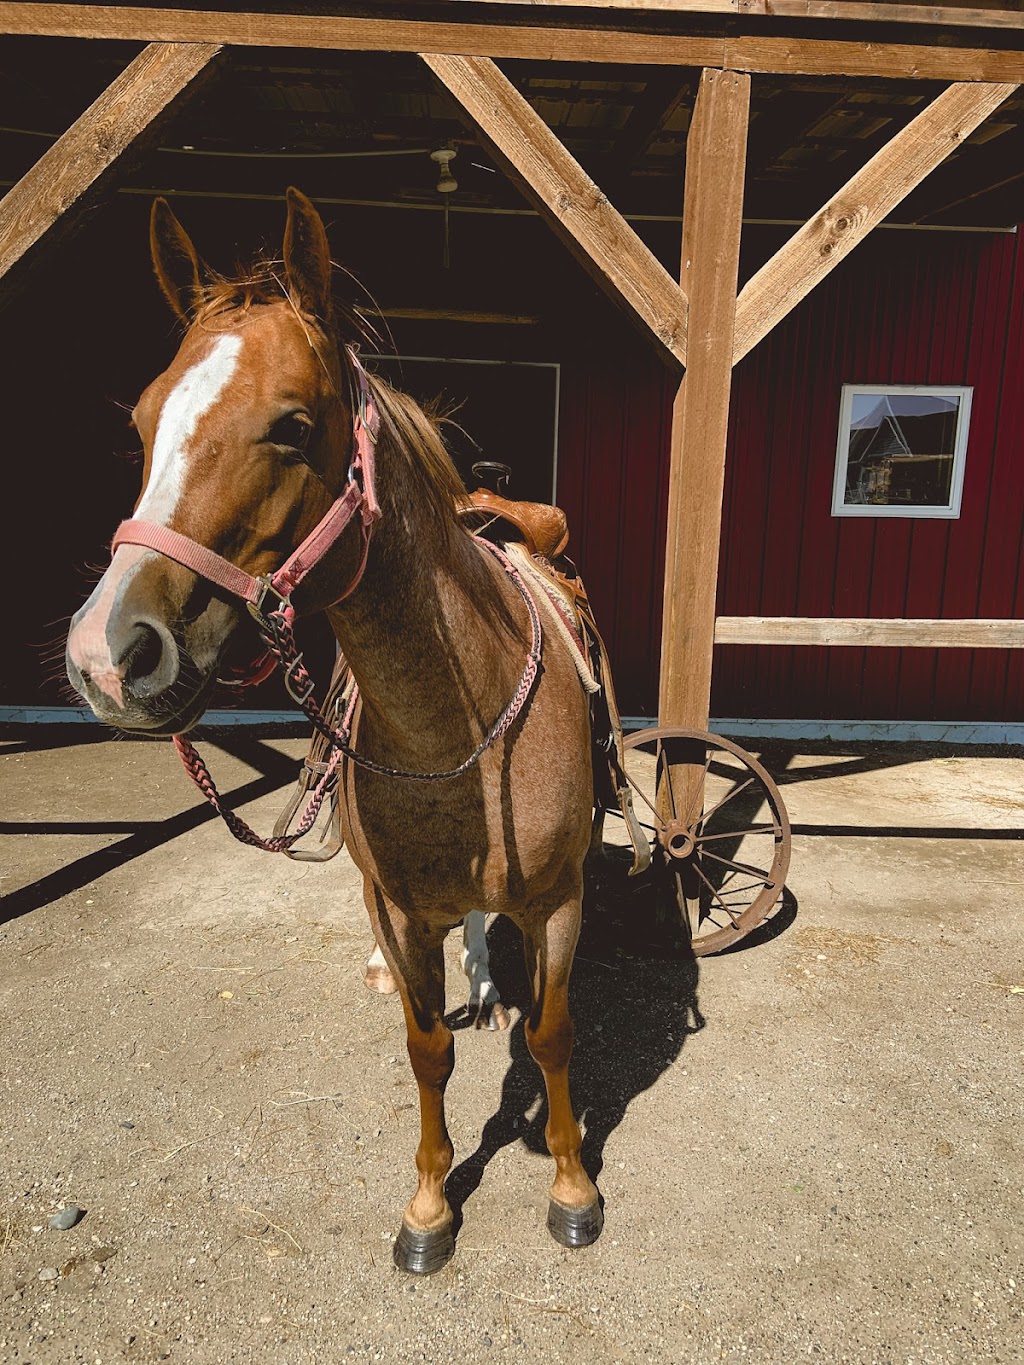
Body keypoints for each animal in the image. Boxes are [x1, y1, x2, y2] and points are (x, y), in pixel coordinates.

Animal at [66, 187, 600, 1272]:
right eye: (142, 421)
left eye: (291, 424)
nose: (108, 654)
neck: (456, 733)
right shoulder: (394, 909)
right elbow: (427, 1048)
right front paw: (429, 1205)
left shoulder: (559, 901)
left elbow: (552, 1034)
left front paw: (571, 1186)